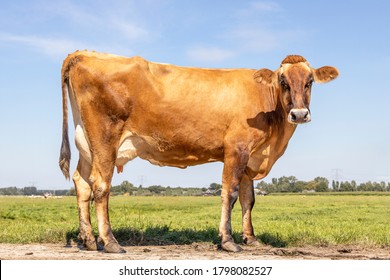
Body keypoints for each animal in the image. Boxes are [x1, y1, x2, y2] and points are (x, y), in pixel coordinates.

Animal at [58, 50, 338, 254]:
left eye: (310, 82)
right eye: (283, 82)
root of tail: (83, 53)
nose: (299, 114)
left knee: (82, 183)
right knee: (101, 185)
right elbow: (230, 193)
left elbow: (248, 199)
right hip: (105, 138)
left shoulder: (251, 156)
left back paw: (88, 240)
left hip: (86, 142)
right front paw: (228, 241)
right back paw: (110, 242)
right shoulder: (236, 149)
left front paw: (250, 238)